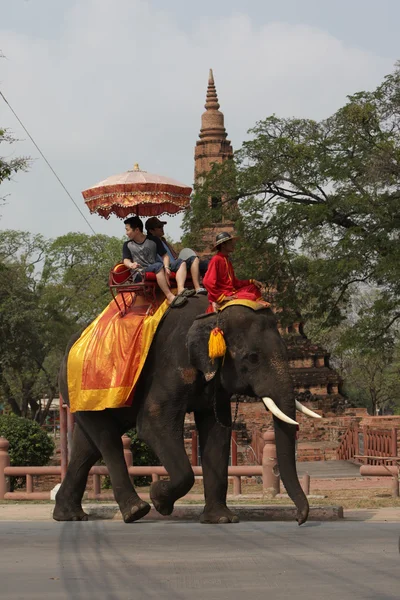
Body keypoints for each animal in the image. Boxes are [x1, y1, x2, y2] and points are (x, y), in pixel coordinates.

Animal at [53, 296, 318, 524]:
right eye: (252, 357)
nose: (299, 518)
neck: (213, 314)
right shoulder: (173, 362)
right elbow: (153, 423)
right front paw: (159, 499)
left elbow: (217, 430)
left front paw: (221, 519)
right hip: (80, 387)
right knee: (107, 440)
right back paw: (136, 511)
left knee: (87, 445)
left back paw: (69, 515)